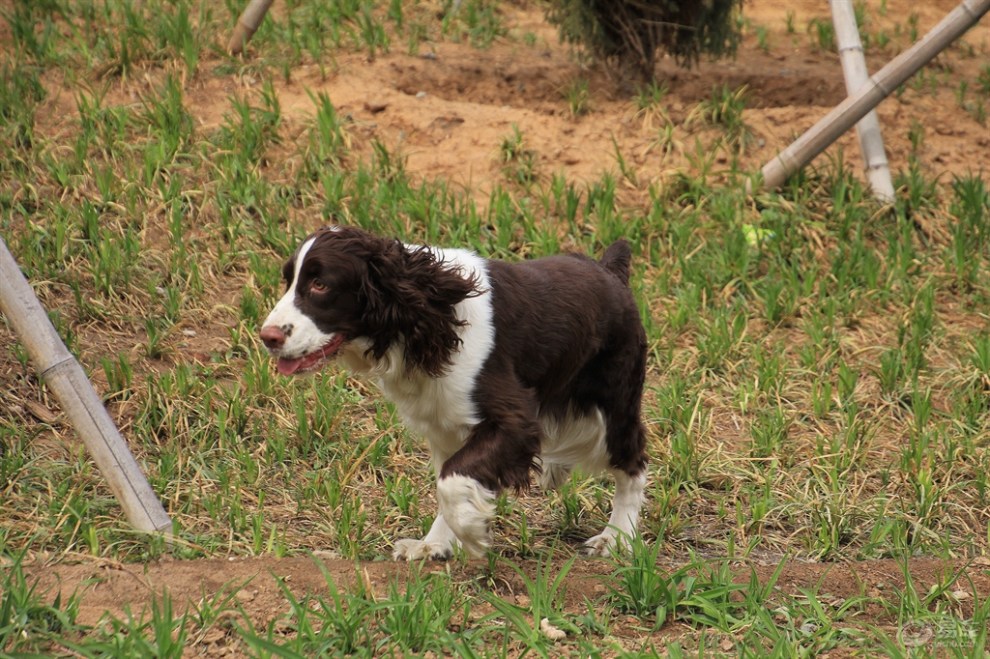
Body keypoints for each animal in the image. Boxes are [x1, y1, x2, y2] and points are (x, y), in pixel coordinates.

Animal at [260, 228, 652, 564]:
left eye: (320, 284)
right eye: (288, 280)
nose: (268, 337)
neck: (432, 314)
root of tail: (609, 270)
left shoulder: (513, 419)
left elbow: (451, 480)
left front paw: (473, 532)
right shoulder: (444, 425)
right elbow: (448, 478)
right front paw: (432, 545)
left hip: (615, 402)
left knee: (632, 463)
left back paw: (616, 537)